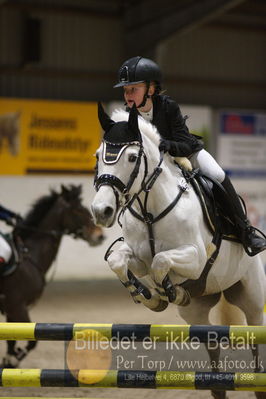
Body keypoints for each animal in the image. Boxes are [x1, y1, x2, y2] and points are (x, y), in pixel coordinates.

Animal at [0, 185, 104, 368]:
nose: (99, 235)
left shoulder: (12, 310)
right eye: (78, 209)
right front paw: (13, 360)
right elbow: (31, 342)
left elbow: (11, 341)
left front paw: (8, 361)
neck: (30, 256)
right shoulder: (18, 307)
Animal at [91, 104, 266, 398]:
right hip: (197, 311)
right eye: (97, 156)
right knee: (212, 341)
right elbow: (119, 261)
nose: (101, 210)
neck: (151, 209)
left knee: (256, 337)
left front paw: (167, 291)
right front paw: (150, 296)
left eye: (132, 157)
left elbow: (161, 262)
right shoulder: (137, 257)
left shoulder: (195, 257)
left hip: (251, 297)